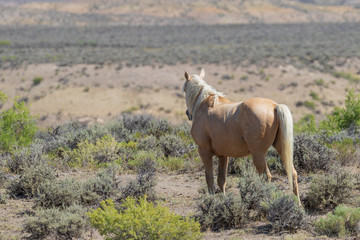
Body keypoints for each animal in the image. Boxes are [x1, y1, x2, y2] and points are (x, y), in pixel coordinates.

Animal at [183, 68, 300, 203]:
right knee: (293, 174)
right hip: (280, 148)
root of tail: (275, 106)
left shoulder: (204, 151)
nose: (187, 113)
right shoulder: (223, 155)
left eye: (184, 89)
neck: (205, 104)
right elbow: (221, 179)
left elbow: (210, 179)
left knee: (266, 176)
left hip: (258, 154)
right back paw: (298, 205)